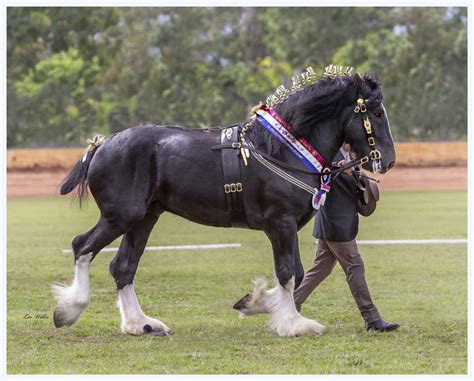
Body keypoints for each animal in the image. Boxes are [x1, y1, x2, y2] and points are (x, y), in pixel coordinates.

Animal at [51, 70, 394, 336]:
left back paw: (141, 325)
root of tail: (101, 145)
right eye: (376, 113)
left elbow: (293, 273)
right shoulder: (280, 224)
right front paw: (293, 324)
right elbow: (288, 272)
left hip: (145, 218)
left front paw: (255, 302)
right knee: (82, 246)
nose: (388, 161)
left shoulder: (287, 227)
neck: (282, 150)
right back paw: (69, 310)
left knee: (123, 267)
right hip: (121, 216)